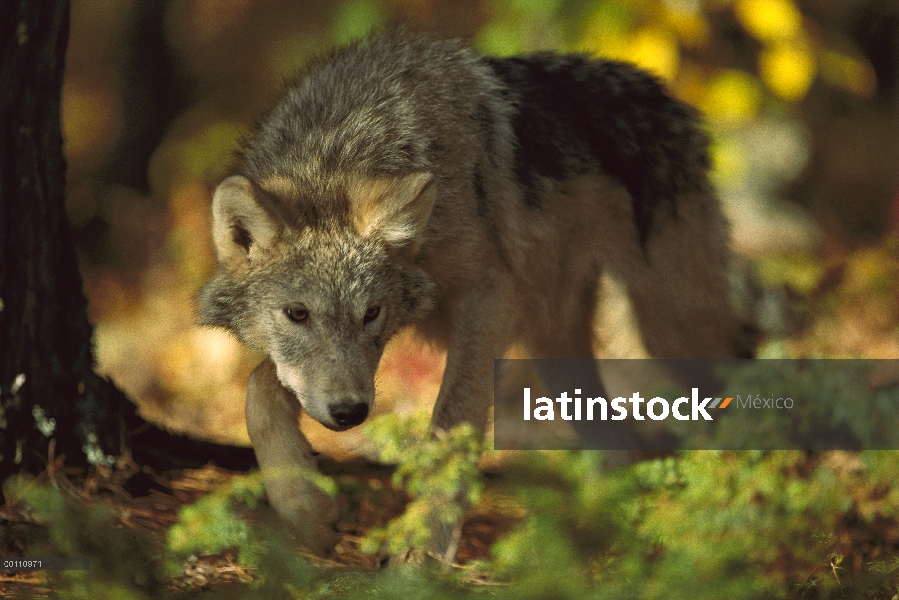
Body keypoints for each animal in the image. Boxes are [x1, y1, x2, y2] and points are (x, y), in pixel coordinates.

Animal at [199, 30, 760, 556]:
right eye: (297, 314)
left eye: (371, 312)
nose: (350, 414)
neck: (346, 143)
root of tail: (665, 92)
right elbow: (258, 389)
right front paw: (305, 509)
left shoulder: (487, 300)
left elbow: (449, 422)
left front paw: (421, 548)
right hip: (555, 345)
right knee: (616, 444)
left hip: (668, 329)